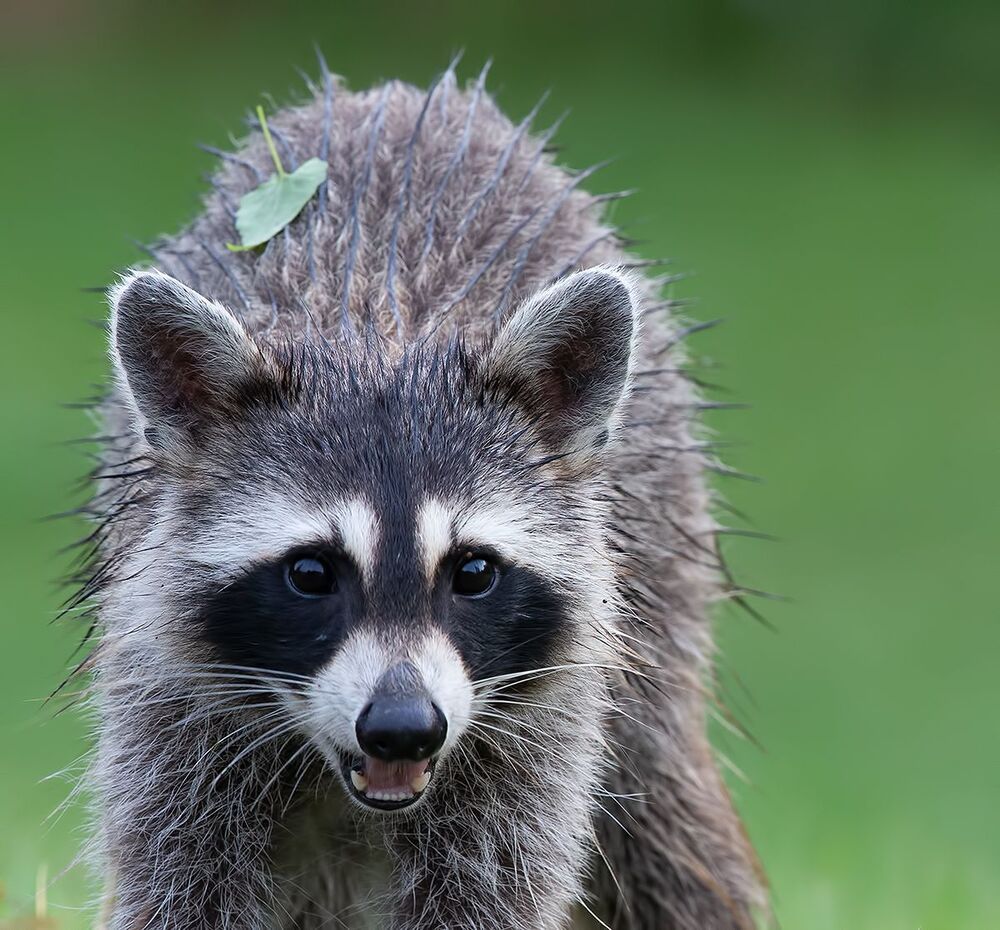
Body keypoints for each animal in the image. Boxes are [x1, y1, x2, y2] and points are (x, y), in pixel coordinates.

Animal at [80, 58, 766, 930]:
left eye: (473, 571)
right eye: (311, 573)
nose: (403, 730)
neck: (382, 343)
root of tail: (399, 95)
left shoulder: (534, 731)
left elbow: (491, 887)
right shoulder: (172, 704)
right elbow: (183, 882)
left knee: (663, 821)